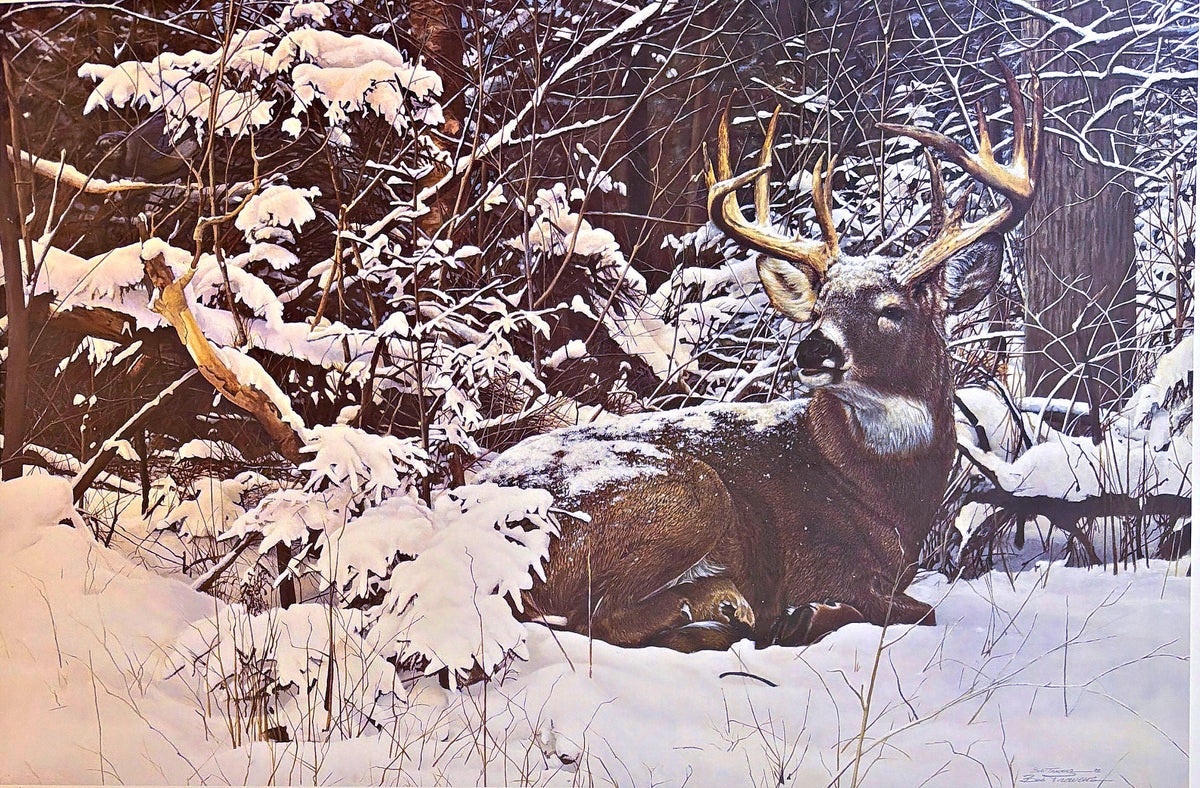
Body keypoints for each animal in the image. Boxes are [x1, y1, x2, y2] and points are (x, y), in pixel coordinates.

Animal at [481, 60, 1042, 651]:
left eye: (892, 310)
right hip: (687, 491)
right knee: (595, 617)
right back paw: (733, 608)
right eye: (820, 306)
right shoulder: (820, 562)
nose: (814, 346)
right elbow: (918, 610)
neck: (888, 501)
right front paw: (805, 614)